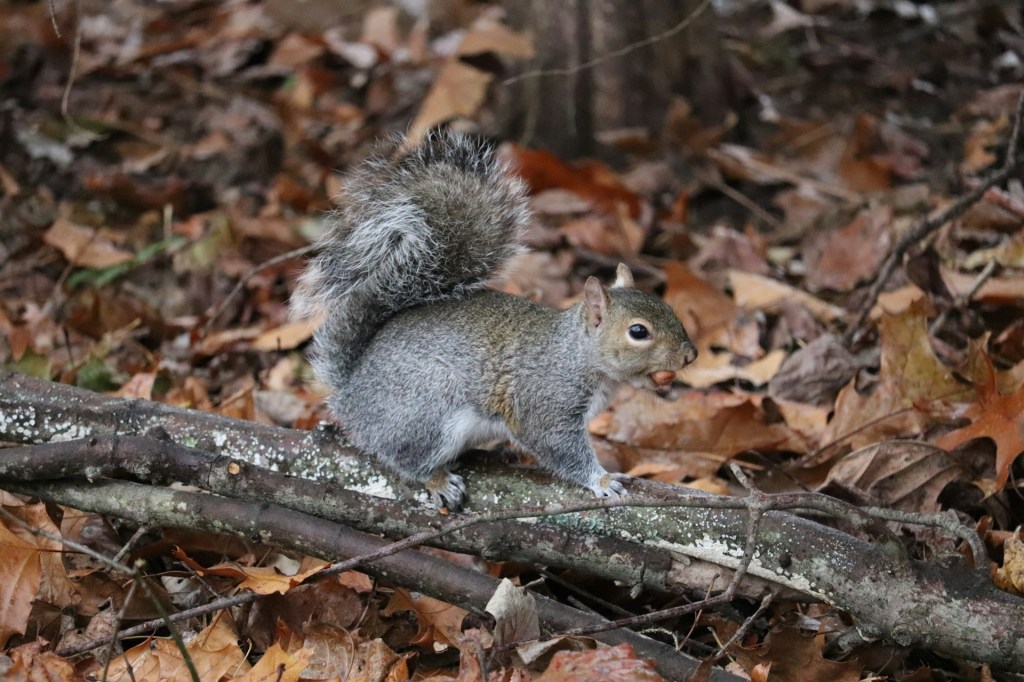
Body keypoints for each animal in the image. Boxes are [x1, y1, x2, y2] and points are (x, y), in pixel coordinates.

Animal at [293, 130, 696, 510]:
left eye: (667, 307)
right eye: (638, 331)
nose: (690, 355)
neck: (577, 354)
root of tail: (350, 391)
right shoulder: (545, 401)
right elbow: (556, 445)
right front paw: (601, 480)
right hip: (425, 412)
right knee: (403, 458)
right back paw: (437, 480)